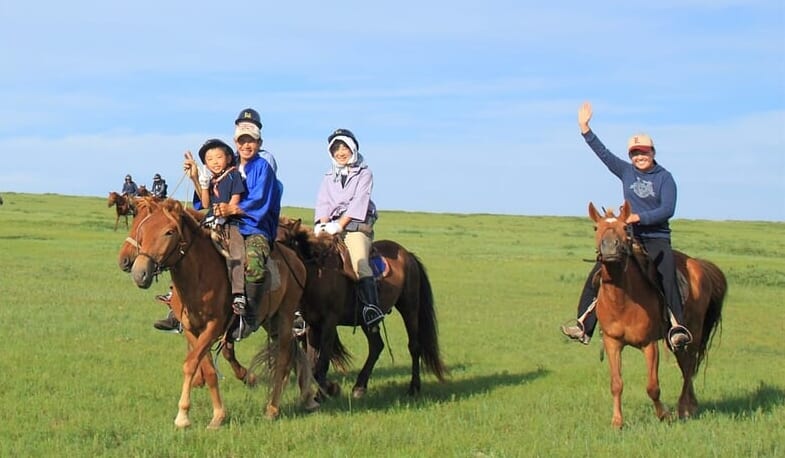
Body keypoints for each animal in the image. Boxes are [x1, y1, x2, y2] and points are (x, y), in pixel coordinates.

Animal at [115, 199, 316, 428]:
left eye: (169, 232)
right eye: (142, 229)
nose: (139, 273)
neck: (199, 276)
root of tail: (295, 260)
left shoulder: (214, 326)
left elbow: (191, 363)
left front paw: (184, 415)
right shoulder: (192, 329)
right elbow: (206, 368)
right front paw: (216, 414)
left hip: (284, 315)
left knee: (283, 358)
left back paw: (273, 409)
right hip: (269, 320)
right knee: (292, 351)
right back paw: (307, 396)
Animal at [278, 216, 448, 398]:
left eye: (282, 241)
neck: (318, 272)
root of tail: (408, 255)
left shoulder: (329, 322)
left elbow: (322, 363)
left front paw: (326, 392)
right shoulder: (312, 324)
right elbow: (311, 364)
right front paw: (319, 393)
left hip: (409, 307)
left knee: (414, 346)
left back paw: (414, 387)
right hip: (366, 319)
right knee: (376, 346)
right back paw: (360, 386)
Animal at [588, 201, 724, 430]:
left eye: (625, 227)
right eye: (596, 228)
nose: (610, 249)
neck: (622, 300)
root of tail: (698, 264)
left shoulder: (649, 344)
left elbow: (653, 386)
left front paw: (664, 415)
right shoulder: (612, 342)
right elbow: (616, 383)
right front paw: (617, 422)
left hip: (693, 332)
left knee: (689, 366)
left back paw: (684, 408)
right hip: (675, 340)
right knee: (685, 365)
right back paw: (691, 405)